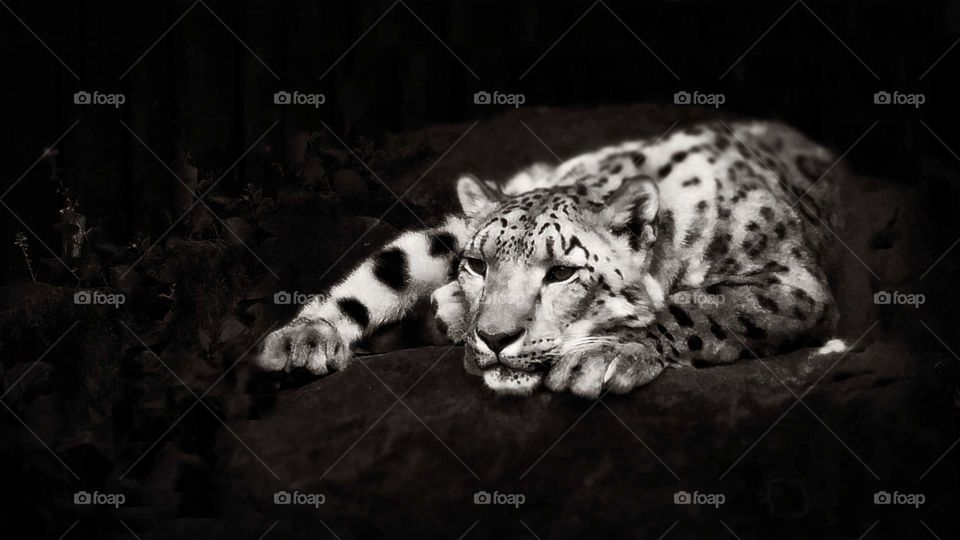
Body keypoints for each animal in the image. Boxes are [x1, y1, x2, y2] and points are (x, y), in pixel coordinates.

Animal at [256, 120, 845, 398]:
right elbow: (388, 270)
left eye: (562, 272)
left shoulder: (790, 282)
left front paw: (604, 354)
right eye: (478, 265)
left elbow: (699, 310)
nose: (494, 337)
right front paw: (301, 339)